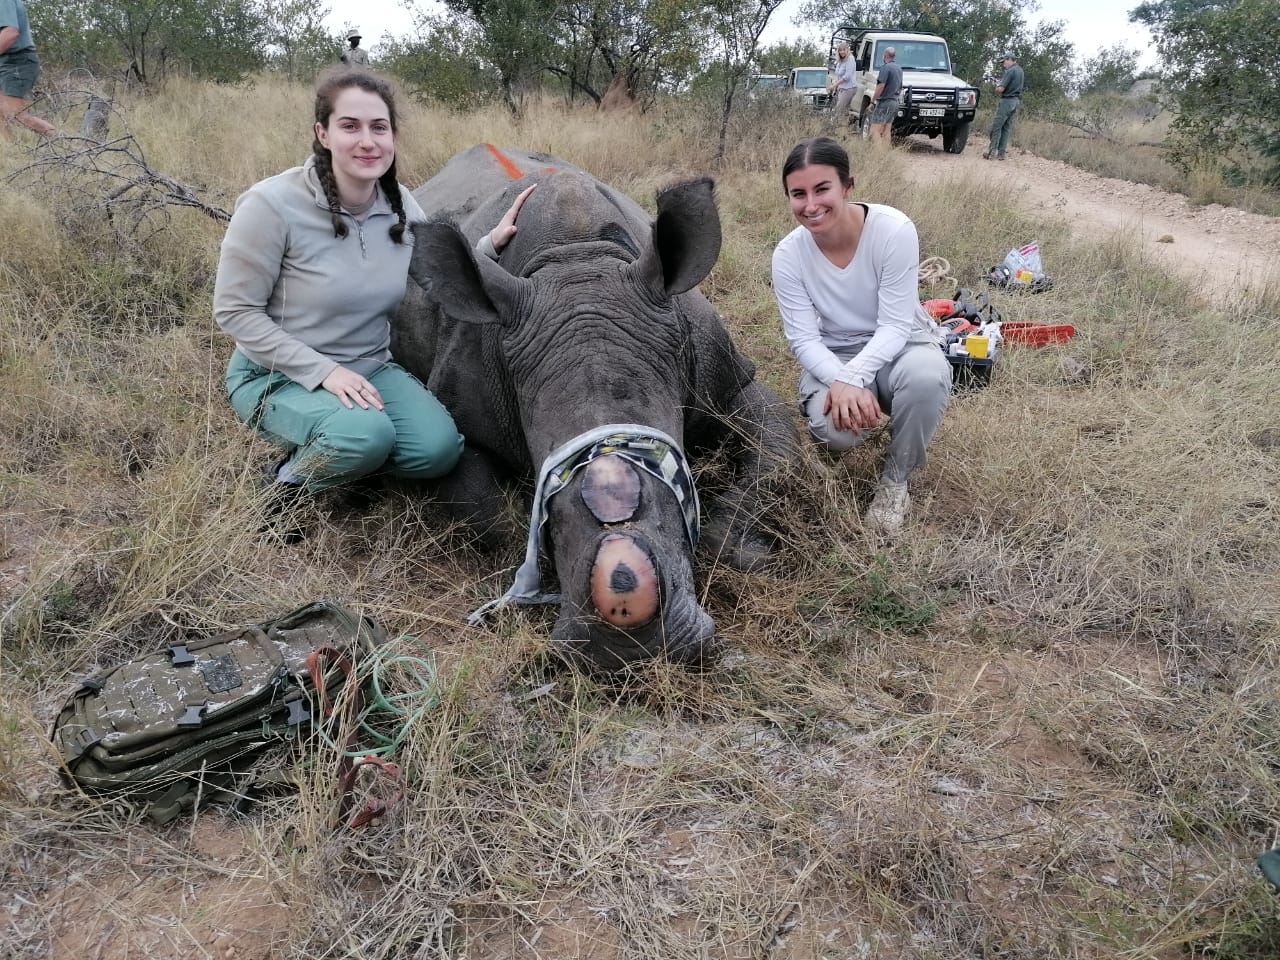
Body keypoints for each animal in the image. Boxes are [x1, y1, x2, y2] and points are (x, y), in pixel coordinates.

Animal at [392, 145, 801, 671]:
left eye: (675, 483)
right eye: (552, 514)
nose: (632, 652)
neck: (577, 260)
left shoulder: (725, 379)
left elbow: (777, 455)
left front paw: (738, 551)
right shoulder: (460, 412)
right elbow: (484, 508)